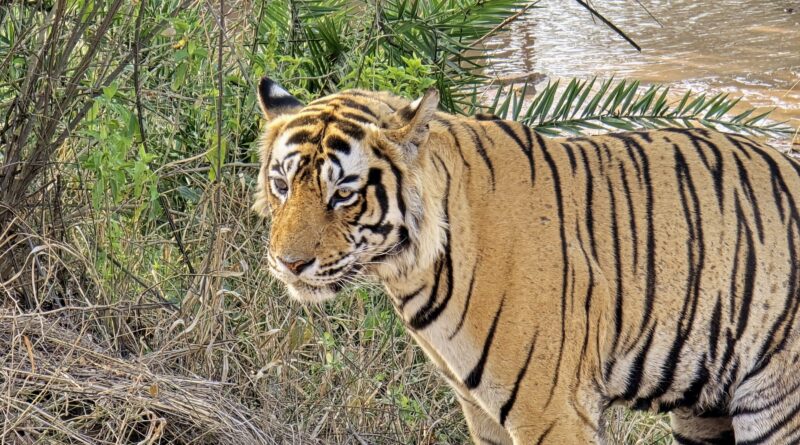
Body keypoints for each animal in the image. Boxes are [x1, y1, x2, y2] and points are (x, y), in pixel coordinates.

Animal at [252, 76, 800, 445]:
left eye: (343, 194)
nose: (288, 263)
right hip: (705, 410)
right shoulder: (480, 410)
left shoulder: (552, 411)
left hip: (775, 404)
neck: (414, 273)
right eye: (281, 185)